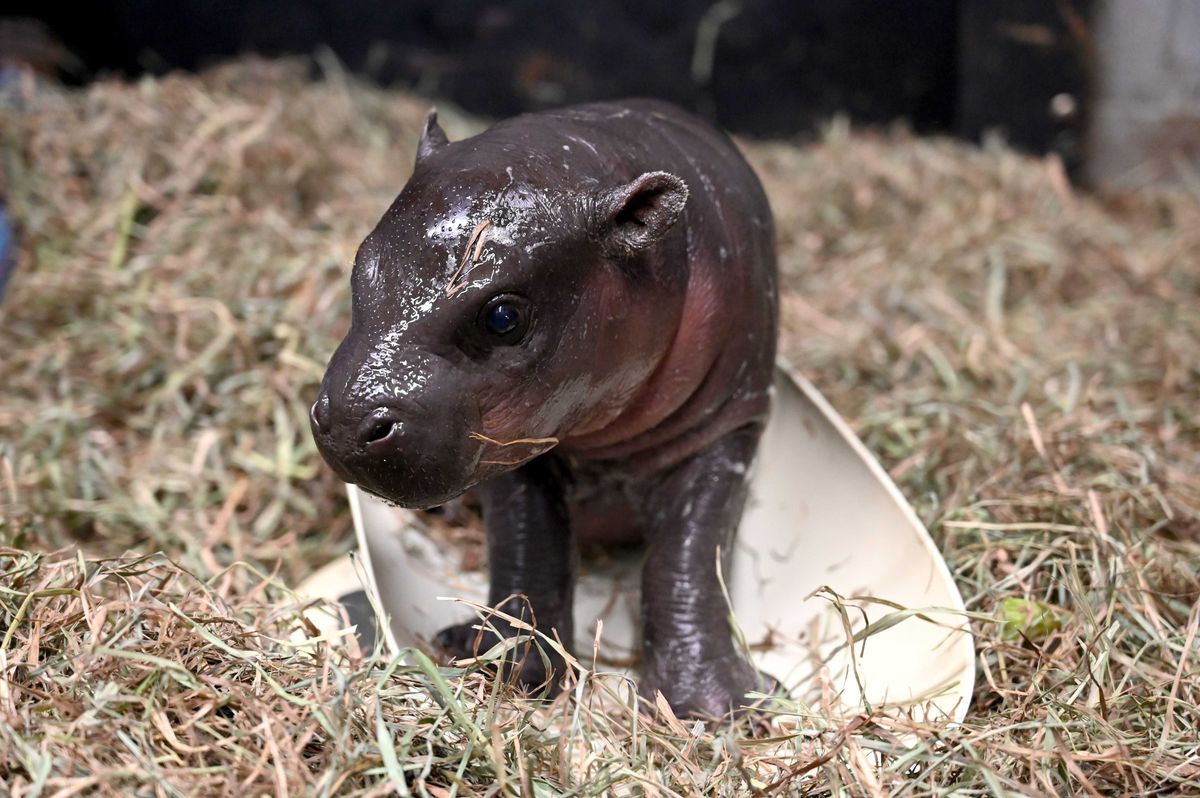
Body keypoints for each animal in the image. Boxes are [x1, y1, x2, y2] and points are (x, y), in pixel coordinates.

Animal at [311, 99, 778, 718]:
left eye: (503, 316)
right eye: (361, 267)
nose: (346, 420)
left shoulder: (727, 428)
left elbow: (688, 555)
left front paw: (717, 707)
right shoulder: (514, 449)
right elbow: (533, 543)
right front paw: (505, 665)